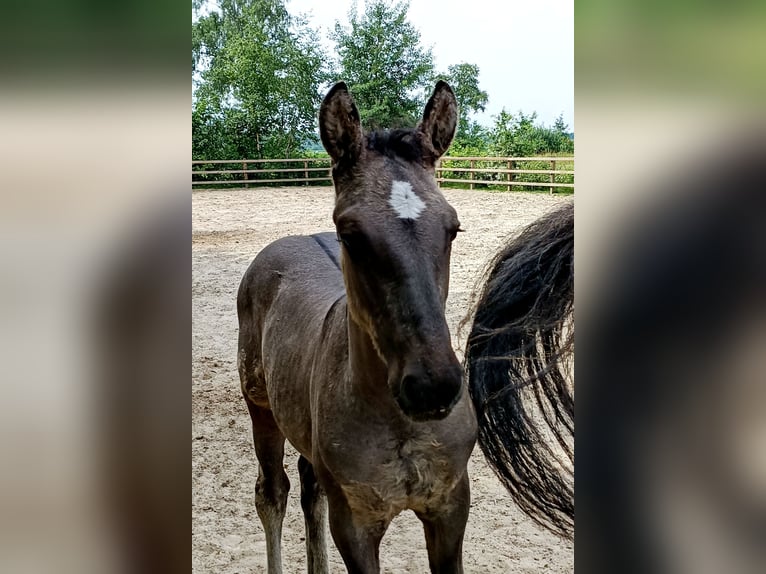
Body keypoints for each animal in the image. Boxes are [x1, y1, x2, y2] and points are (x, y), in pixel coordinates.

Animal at [237, 81, 477, 574]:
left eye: (453, 229)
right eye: (350, 234)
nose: (432, 387)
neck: (402, 424)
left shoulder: (450, 507)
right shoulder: (355, 522)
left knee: (309, 490)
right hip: (260, 407)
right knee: (273, 493)